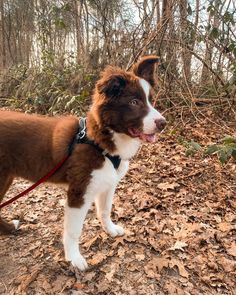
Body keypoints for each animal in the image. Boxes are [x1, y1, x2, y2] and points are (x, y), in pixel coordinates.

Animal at [0, 55, 166, 270]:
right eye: (134, 102)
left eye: (151, 100)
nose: (163, 124)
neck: (99, 142)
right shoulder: (79, 191)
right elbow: (73, 231)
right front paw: (73, 258)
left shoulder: (107, 183)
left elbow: (105, 210)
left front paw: (110, 230)